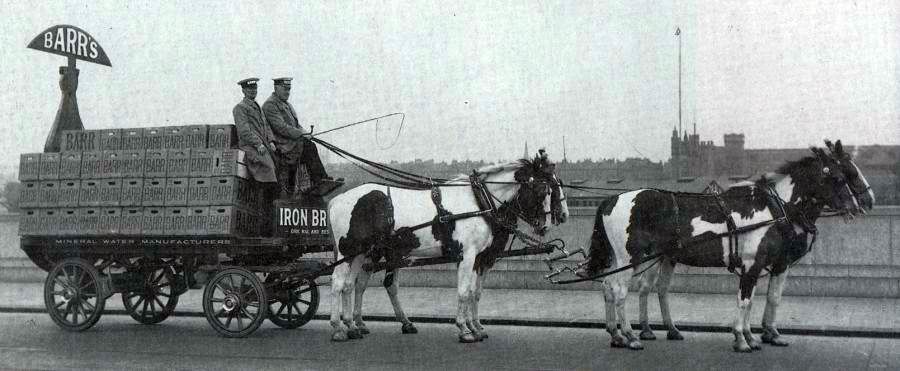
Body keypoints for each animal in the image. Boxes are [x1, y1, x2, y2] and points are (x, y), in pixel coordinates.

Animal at [326, 152, 568, 342]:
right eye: (543, 190)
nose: (548, 224)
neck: (479, 203)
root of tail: (336, 200)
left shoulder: (479, 258)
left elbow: (472, 292)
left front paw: (474, 327)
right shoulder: (468, 255)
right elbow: (463, 292)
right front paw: (465, 330)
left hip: (361, 252)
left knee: (350, 285)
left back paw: (353, 326)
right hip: (349, 250)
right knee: (338, 283)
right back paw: (338, 327)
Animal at [588, 145, 860, 352]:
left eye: (849, 174)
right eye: (839, 177)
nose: (857, 205)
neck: (774, 208)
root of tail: (613, 199)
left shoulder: (758, 266)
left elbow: (750, 301)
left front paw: (751, 336)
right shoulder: (752, 265)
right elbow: (744, 300)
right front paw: (741, 339)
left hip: (629, 259)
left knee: (611, 286)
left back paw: (618, 334)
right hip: (630, 258)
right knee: (620, 291)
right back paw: (630, 336)